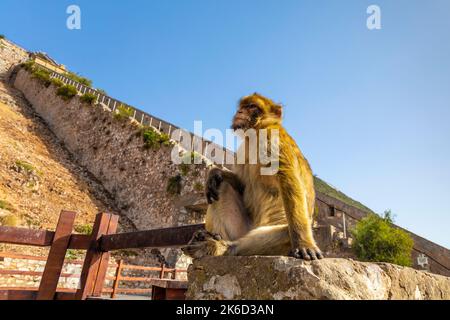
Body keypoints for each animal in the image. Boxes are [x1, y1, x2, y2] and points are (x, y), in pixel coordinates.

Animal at [181, 92, 322, 260]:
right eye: (242, 106)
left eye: (252, 106)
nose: (239, 112)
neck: (255, 133)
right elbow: (241, 184)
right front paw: (215, 173)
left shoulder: (274, 139)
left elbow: (290, 182)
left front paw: (304, 243)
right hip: (241, 231)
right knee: (221, 187)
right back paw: (214, 238)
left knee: (285, 234)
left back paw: (221, 247)